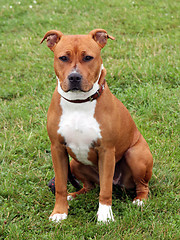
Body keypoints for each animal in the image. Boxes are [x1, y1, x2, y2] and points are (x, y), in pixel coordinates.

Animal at [40, 28, 153, 223]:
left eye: (88, 58)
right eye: (63, 58)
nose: (74, 76)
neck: (79, 102)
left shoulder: (106, 150)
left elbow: (106, 189)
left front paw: (105, 215)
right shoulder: (58, 149)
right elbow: (61, 185)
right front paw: (60, 212)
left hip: (135, 155)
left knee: (140, 185)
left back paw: (140, 200)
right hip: (74, 164)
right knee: (89, 186)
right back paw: (75, 194)